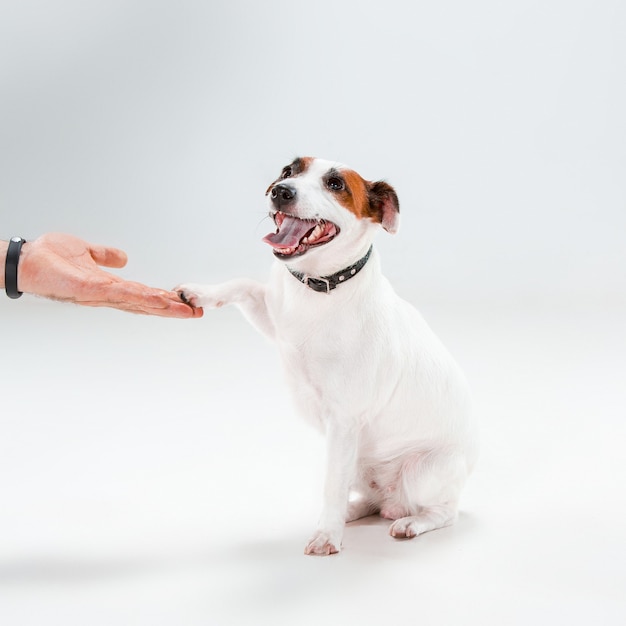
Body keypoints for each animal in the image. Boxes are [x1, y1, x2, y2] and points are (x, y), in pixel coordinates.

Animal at [176, 157, 478, 556]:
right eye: (289, 171)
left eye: (336, 185)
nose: (281, 191)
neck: (320, 287)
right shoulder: (275, 321)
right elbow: (243, 284)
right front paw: (200, 292)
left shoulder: (344, 420)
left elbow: (331, 485)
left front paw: (326, 536)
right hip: (361, 464)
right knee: (371, 500)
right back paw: (354, 511)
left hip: (421, 470)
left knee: (443, 511)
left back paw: (409, 522)